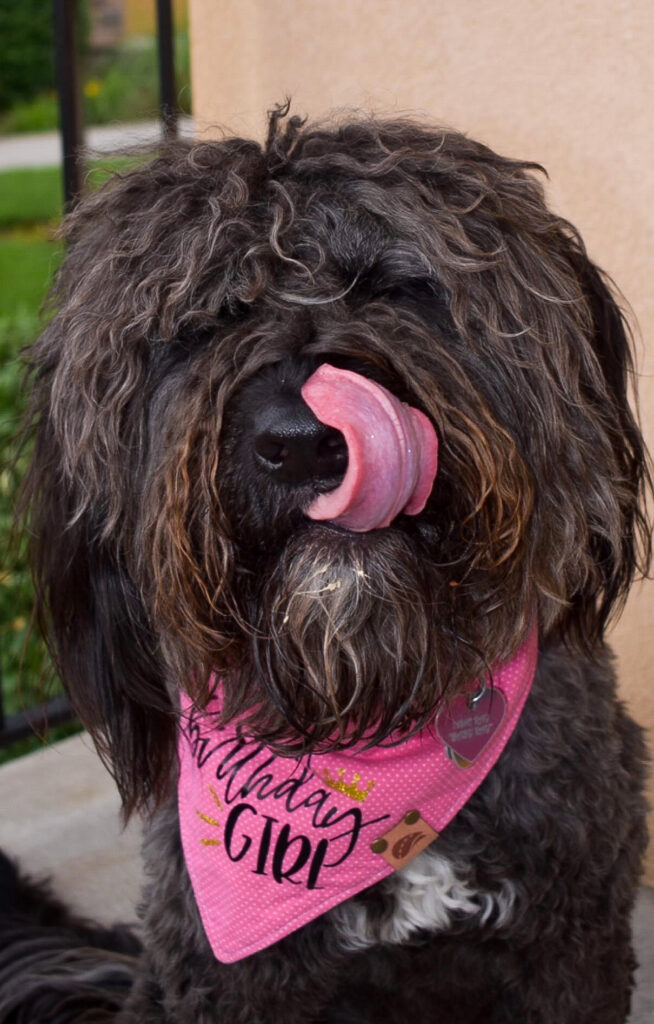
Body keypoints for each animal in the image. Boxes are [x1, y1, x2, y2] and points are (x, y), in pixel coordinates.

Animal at [0, 108, 650, 1019]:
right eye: (204, 321)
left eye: (391, 287)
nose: (301, 443)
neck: (365, 701)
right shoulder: (225, 975)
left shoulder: (573, 942)